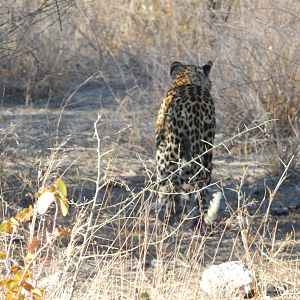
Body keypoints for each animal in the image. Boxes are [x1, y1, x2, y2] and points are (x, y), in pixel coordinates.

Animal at [155, 60, 220, 230]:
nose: (211, 85)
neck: (185, 80)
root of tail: (195, 109)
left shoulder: (161, 148)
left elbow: (162, 180)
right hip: (206, 150)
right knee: (201, 183)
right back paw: (195, 219)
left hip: (172, 149)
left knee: (169, 178)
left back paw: (168, 215)